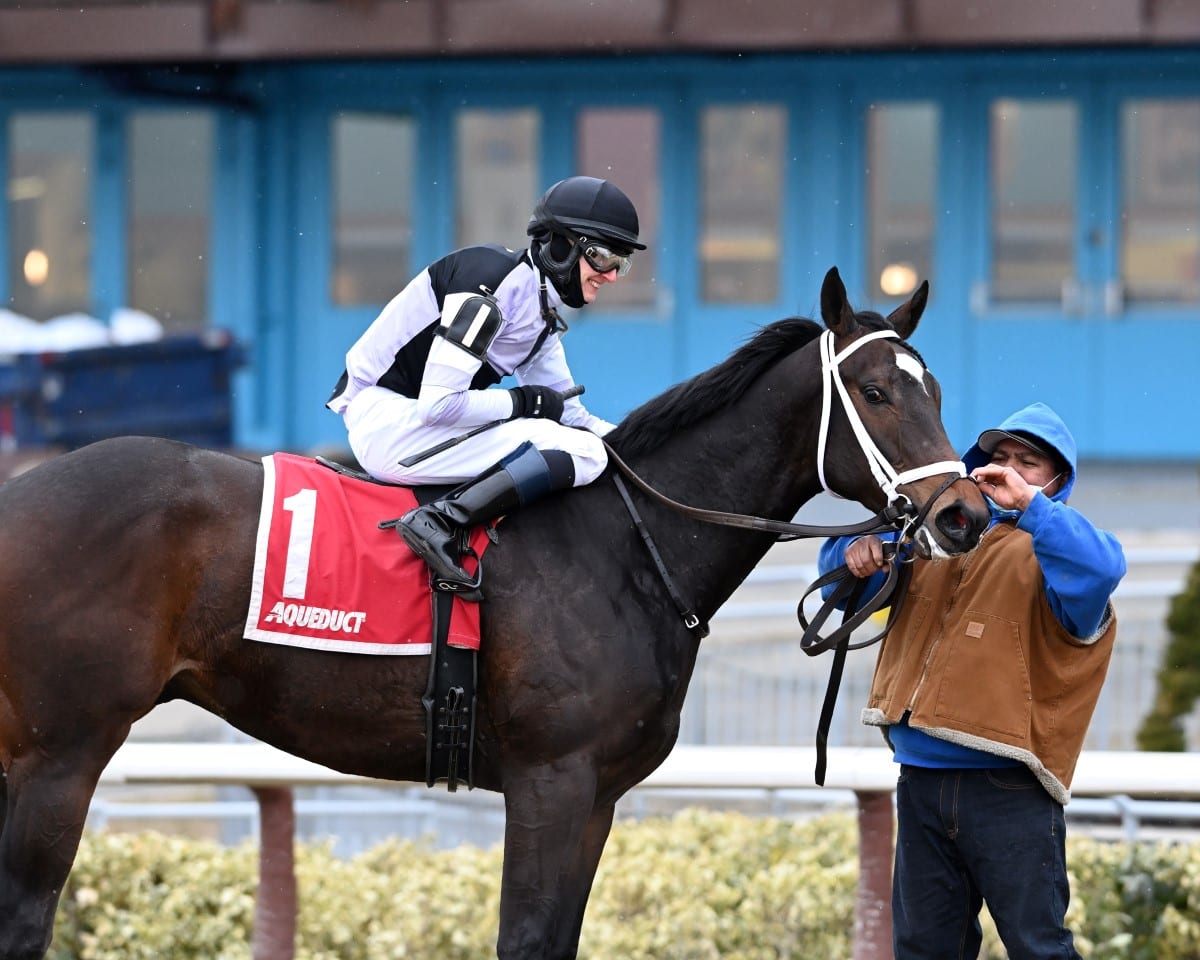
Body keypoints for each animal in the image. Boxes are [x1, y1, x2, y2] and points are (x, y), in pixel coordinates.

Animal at [0, 266, 984, 955]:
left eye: (934, 389)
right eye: (876, 392)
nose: (962, 515)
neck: (628, 546)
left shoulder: (598, 797)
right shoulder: (550, 780)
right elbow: (527, 936)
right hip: (62, 752)